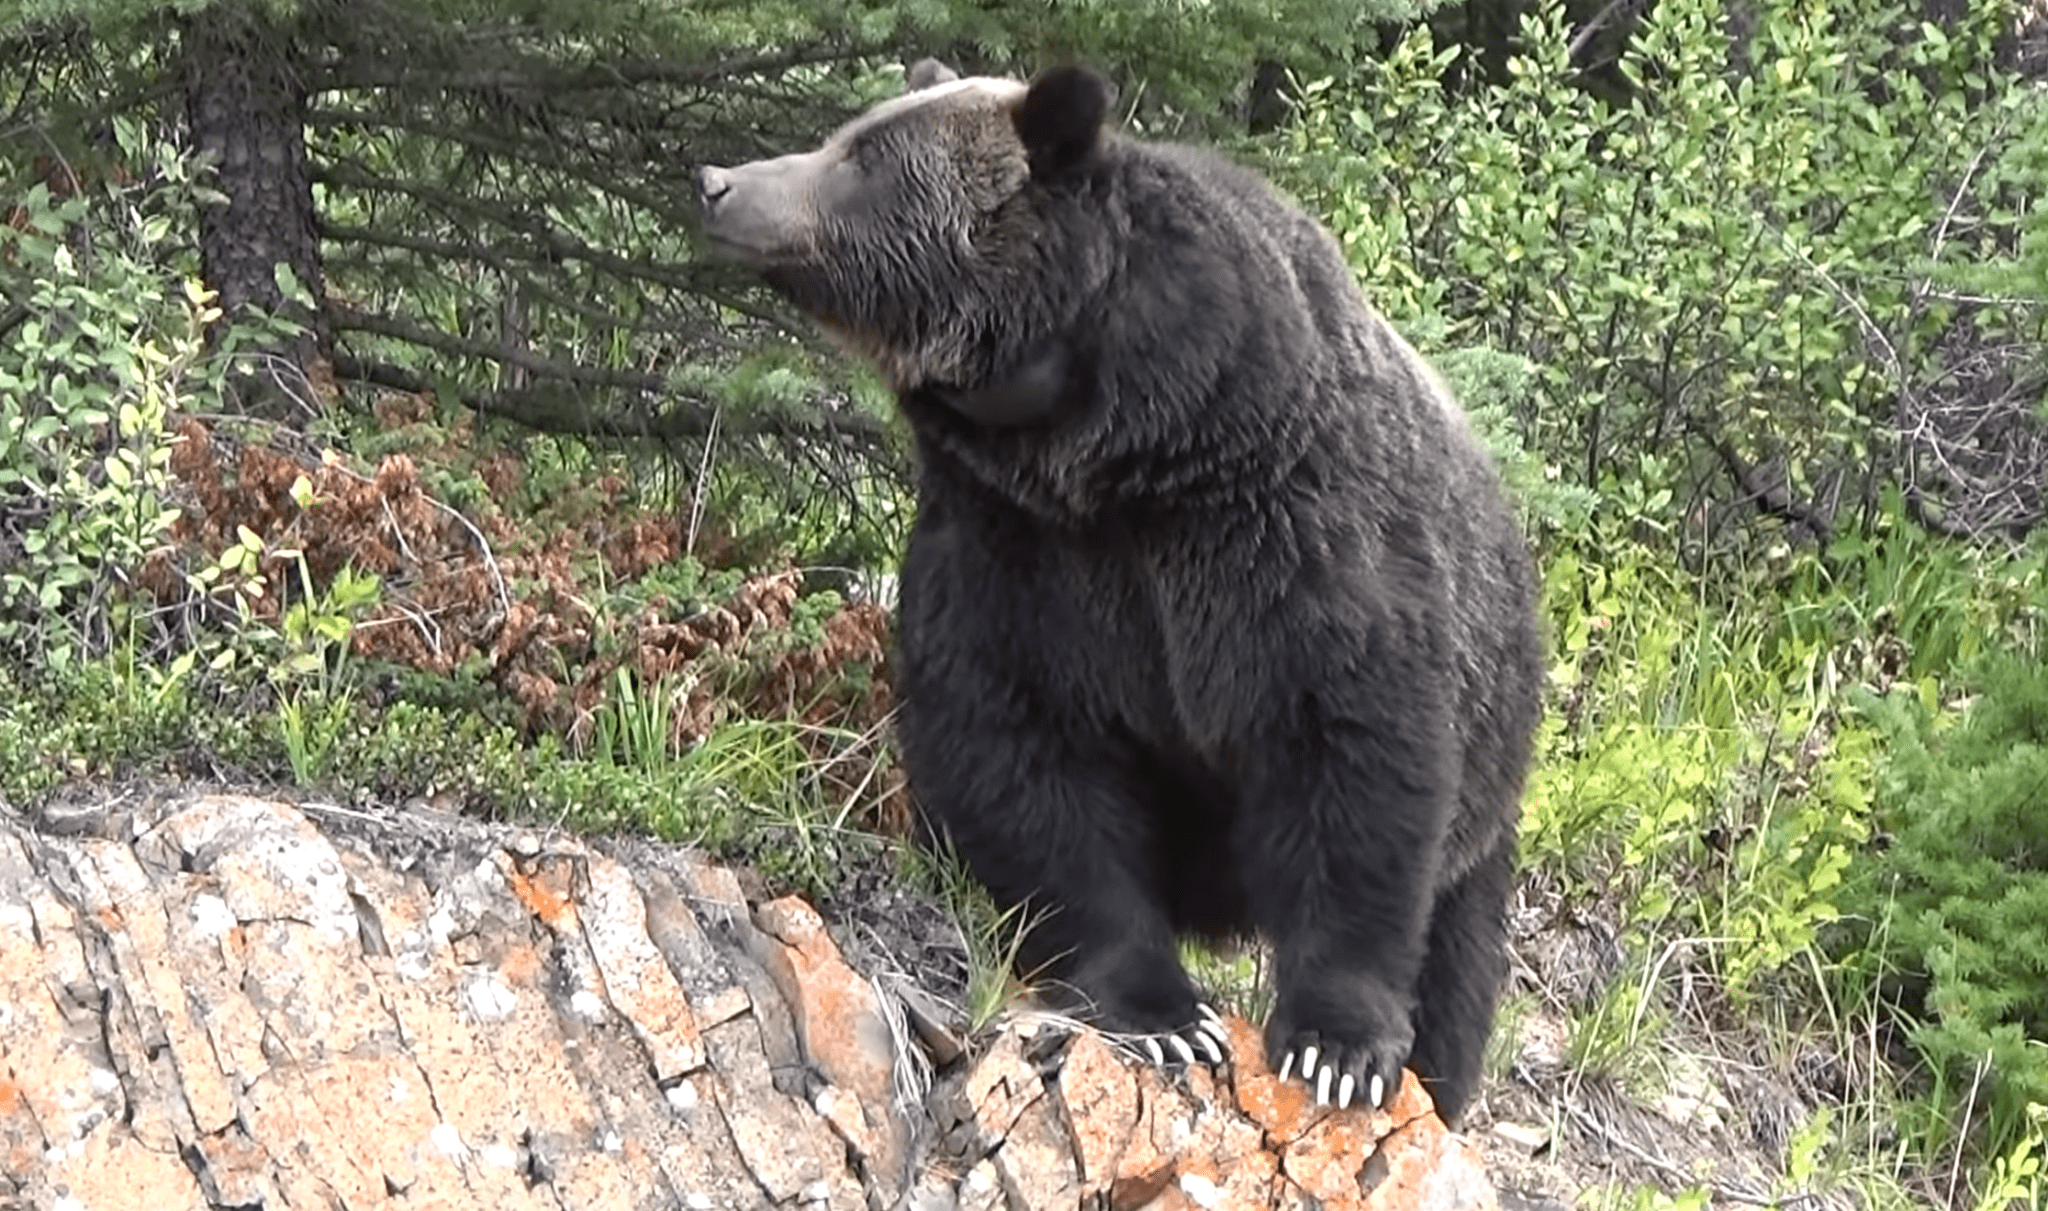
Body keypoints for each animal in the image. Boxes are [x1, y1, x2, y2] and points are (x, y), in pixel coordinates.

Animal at [695, 58, 1544, 1124]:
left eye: (864, 160)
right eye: (849, 134)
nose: (718, 181)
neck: (1113, 441)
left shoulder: (1289, 529)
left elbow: (1351, 745)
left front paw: (1337, 1044)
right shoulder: (1014, 546)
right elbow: (1018, 747)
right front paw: (1163, 1014)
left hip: (1494, 763)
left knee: (1461, 946)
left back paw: (1440, 1069)